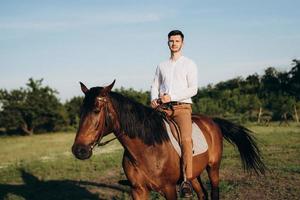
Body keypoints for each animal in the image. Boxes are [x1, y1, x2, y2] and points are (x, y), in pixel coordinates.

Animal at [71, 81, 264, 200]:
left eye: (96, 110)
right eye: (80, 112)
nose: (79, 150)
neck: (147, 150)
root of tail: (212, 122)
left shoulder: (169, 189)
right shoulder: (138, 191)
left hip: (213, 167)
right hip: (193, 175)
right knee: (202, 194)